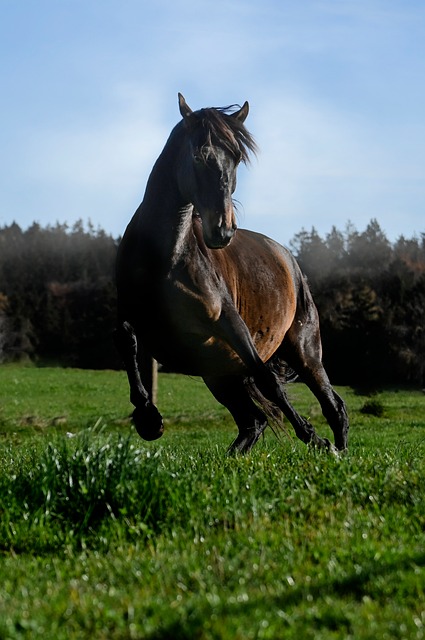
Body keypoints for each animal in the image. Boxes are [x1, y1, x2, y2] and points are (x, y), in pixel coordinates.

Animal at [115, 94, 349, 454]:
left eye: (237, 157)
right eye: (198, 156)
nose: (222, 231)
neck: (165, 259)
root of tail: (289, 259)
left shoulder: (230, 322)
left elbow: (268, 380)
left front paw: (312, 436)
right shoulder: (135, 318)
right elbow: (127, 343)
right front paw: (148, 420)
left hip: (302, 351)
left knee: (331, 405)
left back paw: (336, 449)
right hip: (218, 374)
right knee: (253, 421)